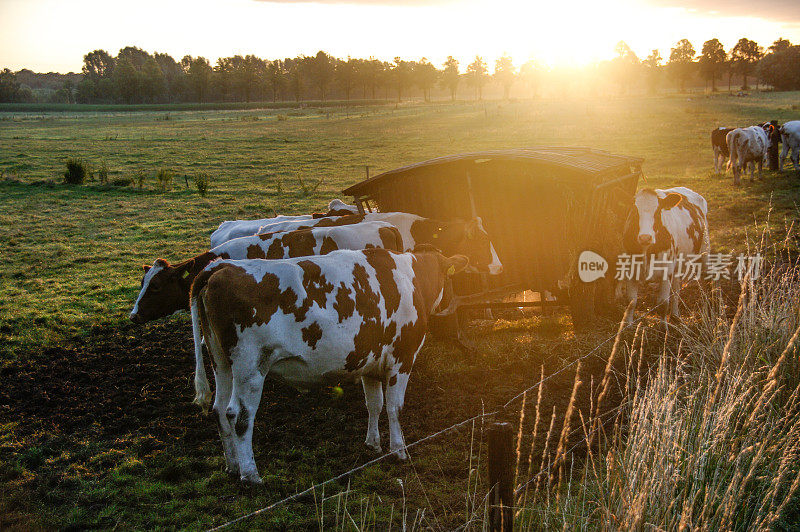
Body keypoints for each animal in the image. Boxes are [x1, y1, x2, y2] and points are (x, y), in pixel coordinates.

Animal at [188, 247, 468, 484]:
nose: (449, 308)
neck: (411, 280)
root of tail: (222, 266)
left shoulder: (370, 362)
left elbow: (374, 405)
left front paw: (373, 444)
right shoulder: (402, 359)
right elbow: (394, 408)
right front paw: (399, 451)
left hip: (221, 361)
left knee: (219, 409)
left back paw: (232, 466)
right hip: (250, 366)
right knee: (239, 415)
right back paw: (250, 474)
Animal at [616, 185, 708, 322]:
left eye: (658, 212)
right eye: (635, 212)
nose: (645, 237)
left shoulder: (666, 271)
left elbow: (663, 304)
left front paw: (663, 326)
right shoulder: (631, 271)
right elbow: (631, 302)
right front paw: (628, 324)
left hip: (705, 250)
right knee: (676, 289)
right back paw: (675, 314)